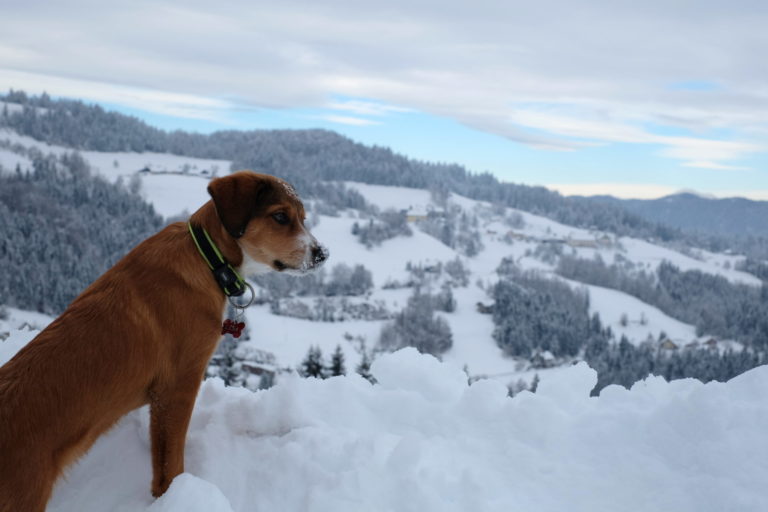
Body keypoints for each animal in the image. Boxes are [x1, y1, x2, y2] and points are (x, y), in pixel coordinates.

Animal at [0, 171, 328, 508]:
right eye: (280, 216)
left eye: (303, 218)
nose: (321, 254)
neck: (207, 259)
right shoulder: (178, 386)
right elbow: (170, 463)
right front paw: (174, 494)